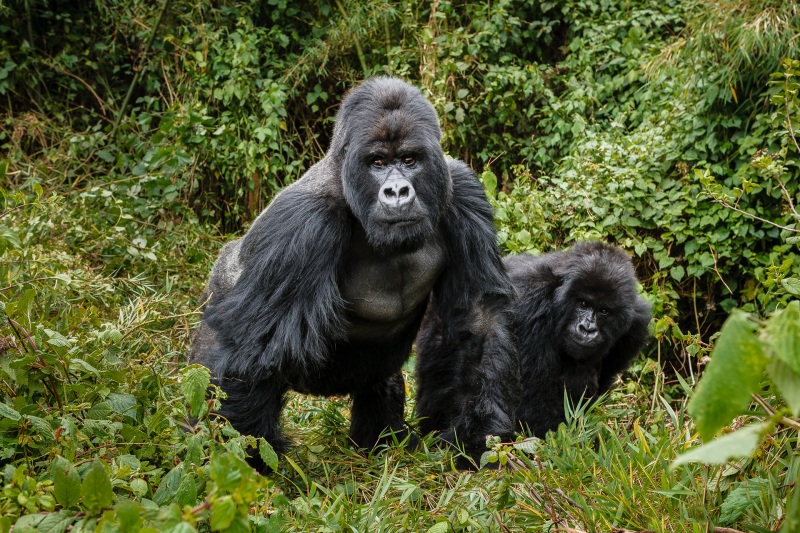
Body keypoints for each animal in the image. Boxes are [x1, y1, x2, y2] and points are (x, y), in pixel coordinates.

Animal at [191, 76, 516, 470]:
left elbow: (477, 319)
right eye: (377, 162)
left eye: (409, 160)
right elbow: (253, 352)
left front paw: (475, 438)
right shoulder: (302, 223)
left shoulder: (464, 191)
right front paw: (247, 465)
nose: (397, 191)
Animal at [506, 241, 648, 436]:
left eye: (604, 311)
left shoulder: (636, 324)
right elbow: (534, 404)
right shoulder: (529, 302)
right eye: (583, 303)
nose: (587, 329)